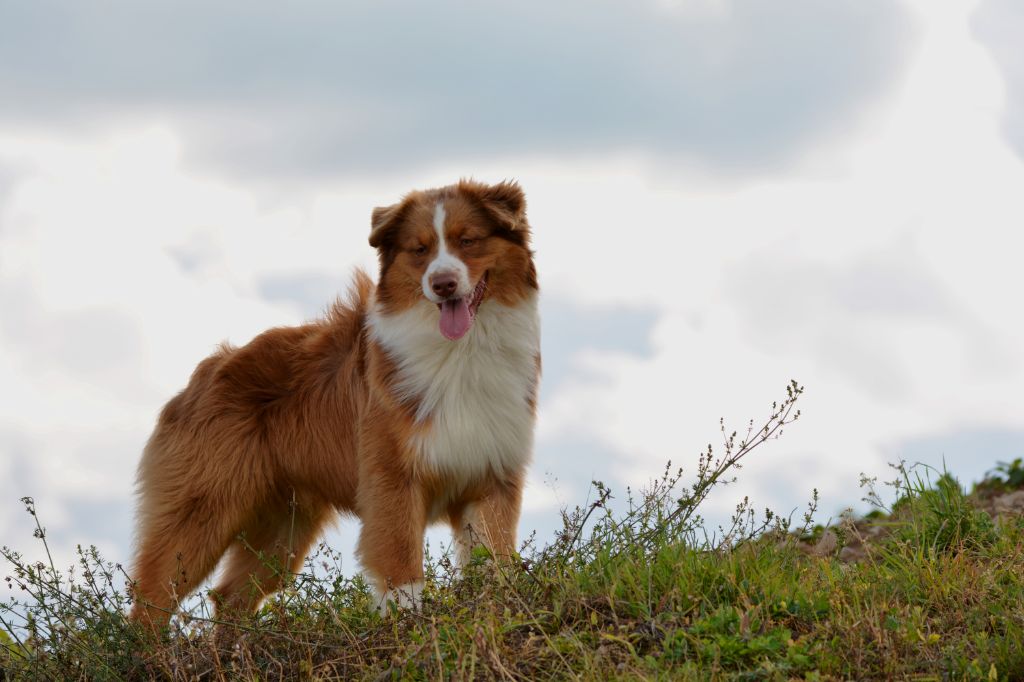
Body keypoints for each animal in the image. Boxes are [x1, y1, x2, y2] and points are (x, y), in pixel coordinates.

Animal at [132, 176, 540, 626]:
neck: (462, 350)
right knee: (151, 597)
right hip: (202, 507)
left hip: (284, 525)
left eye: (468, 240)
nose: (443, 284)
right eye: (420, 250)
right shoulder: (392, 478)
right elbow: (402, 572)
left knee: (230, 597)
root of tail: (204, 372)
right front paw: (408, 629)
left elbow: (495, 561)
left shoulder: (491, 478)